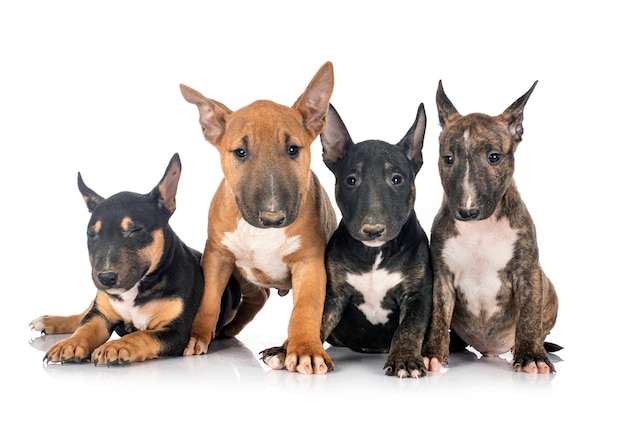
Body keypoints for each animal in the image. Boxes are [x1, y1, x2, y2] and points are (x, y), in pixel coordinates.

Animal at [29, 154, 240, 366]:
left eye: (135, 230)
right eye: (91, 234)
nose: (105, 278)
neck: (136, 288)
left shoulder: (177, 331)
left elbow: (141, 335)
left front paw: (116, 346)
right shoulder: (101, 314)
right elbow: (85, 327)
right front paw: (70, 344)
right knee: (83, 315)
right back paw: (50, 321)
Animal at [320, 103, 432, 378]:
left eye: (396, 179)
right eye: (351, 180)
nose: (373, 230)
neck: (375, 255)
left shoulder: (418, 295)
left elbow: (408, 328)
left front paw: (404, 360)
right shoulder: (334, 294)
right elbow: (316, 319)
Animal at [422, 81, 560, 372]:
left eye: (494, 157)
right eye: (448, 159)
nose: (467, 211)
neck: (479, 230)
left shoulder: (527, 271)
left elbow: (529, 315)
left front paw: (532, 356)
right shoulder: (442, 276)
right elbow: (438, 315)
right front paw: (431, 353)